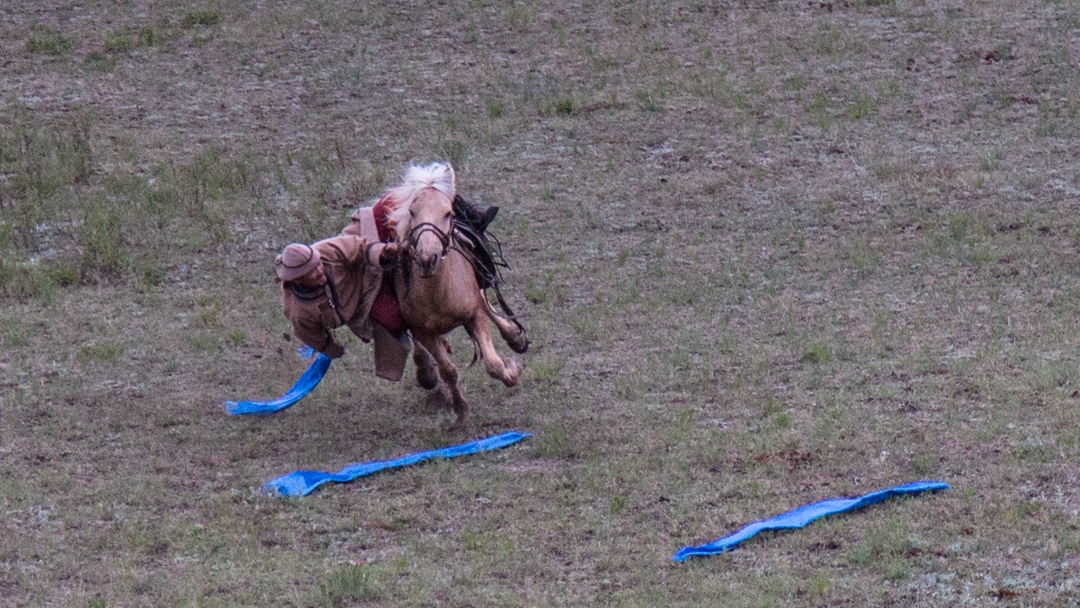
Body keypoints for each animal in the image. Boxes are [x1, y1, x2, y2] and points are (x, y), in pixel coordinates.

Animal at [384, 161, 527, 427]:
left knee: (486, 302)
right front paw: (460, 411)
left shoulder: (474, 316)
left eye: (447, 213)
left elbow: (493, 363)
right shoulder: (423, 331)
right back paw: (425, 373)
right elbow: (448, 370)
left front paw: (513, 369)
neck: (436, 294)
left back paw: (515, 336)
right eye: (412, 212)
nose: (427, 258)